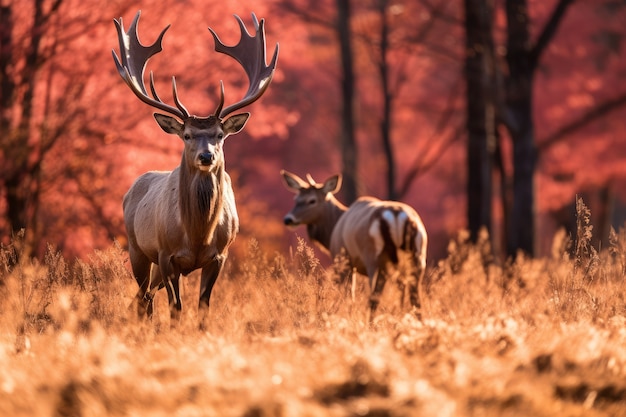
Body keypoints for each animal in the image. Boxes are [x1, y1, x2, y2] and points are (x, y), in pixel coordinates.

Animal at [112, 10, 278, 324]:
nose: (206, 156)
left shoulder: (219, 256)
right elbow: (176, 308)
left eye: (220, 135)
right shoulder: (166, 255)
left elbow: (203, 307)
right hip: (136, 247)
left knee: (146, 297)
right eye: (187, 135)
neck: (198, 235)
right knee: (143, 297)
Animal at [282, 171, 424, 320]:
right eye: (296, 198)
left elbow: (349, 295)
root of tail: (396, 215)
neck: (332, 231)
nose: (288, 219)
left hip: (374, 259)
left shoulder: (343, 260)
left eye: (312, 200)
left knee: (374, 297)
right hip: (417, 257)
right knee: (415, 298)